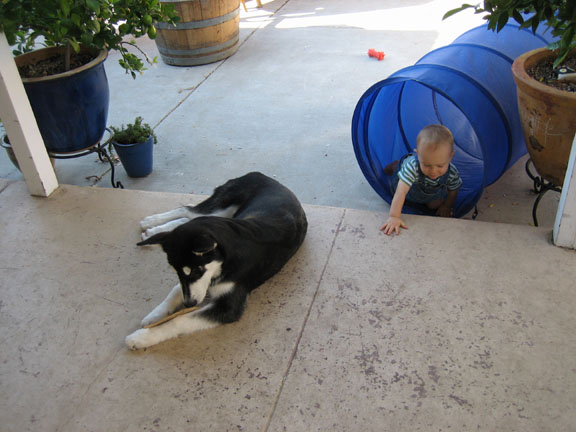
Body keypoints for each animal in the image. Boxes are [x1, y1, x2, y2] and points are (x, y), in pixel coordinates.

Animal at [125, 172, 308, 350]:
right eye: (176, 272)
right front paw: (156, 313)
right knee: (187, 210)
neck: (226, 260)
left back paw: (152, 229)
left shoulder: (228, 307)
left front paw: (141, 337)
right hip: (219, 211)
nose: (189, 304)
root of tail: (260, 174)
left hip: (221, 210)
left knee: (187, 214)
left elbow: (179, 320)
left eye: (197, 271)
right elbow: (176, 290)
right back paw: (152, 225)